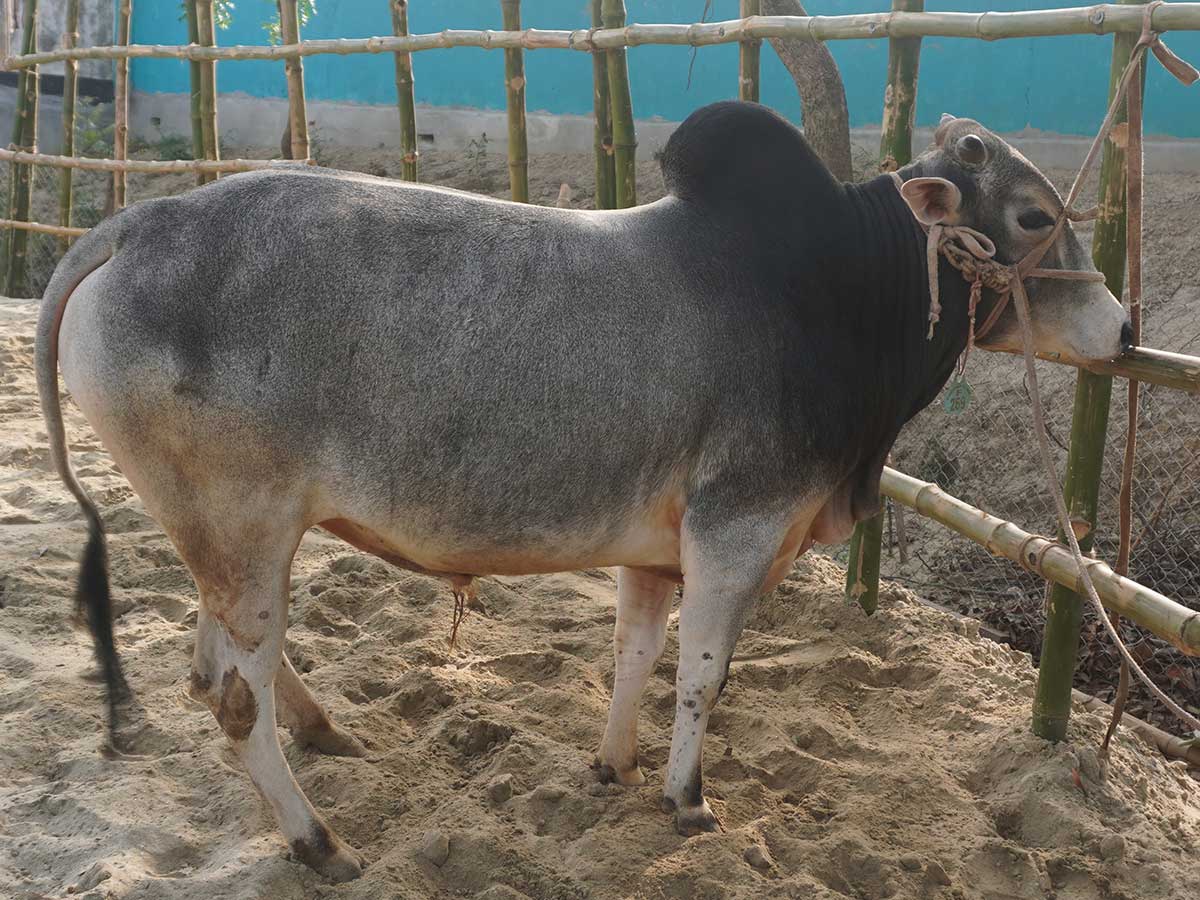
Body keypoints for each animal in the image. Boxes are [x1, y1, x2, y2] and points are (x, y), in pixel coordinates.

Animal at [36, 101, 1129, 881]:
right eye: (1034, 217)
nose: (1121, 330)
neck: (840, 289)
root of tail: (134, 223)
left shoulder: (659, 550)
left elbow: (635, 654)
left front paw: (614, 767)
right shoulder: (737, 531)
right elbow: (703, 677)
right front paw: (688, 800)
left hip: (227, 539)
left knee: (213, 665)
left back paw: (325, 733)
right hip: (245, 529)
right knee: (233, 695)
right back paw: (319, 841)